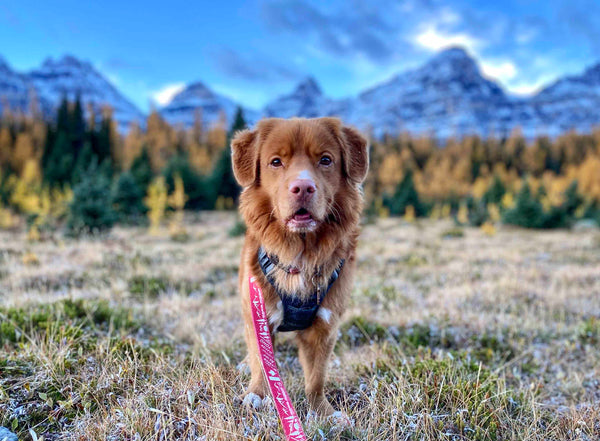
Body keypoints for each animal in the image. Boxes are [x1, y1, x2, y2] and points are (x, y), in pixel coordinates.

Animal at [231, 116, 368, 416]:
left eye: (326, 160)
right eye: (276, 162)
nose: (303, 187)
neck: (300, 252)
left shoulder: (325, 324)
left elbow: (316, 376)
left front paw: (322, 410)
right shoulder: (258, 311)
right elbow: (261, 360)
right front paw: (257, 394)